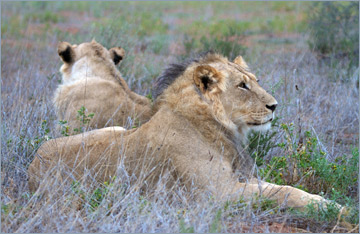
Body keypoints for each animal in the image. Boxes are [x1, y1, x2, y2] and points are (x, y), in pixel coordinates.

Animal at [28, 52, 344, 213]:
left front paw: (328, 203)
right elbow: (284, 192)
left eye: (255, 80)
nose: (274, 105)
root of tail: (32, 165)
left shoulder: (243, 179)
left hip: (116, 129)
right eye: (242, 85)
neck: (217, 127)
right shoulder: (220, 193)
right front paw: (336, 208)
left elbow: (285, 188)